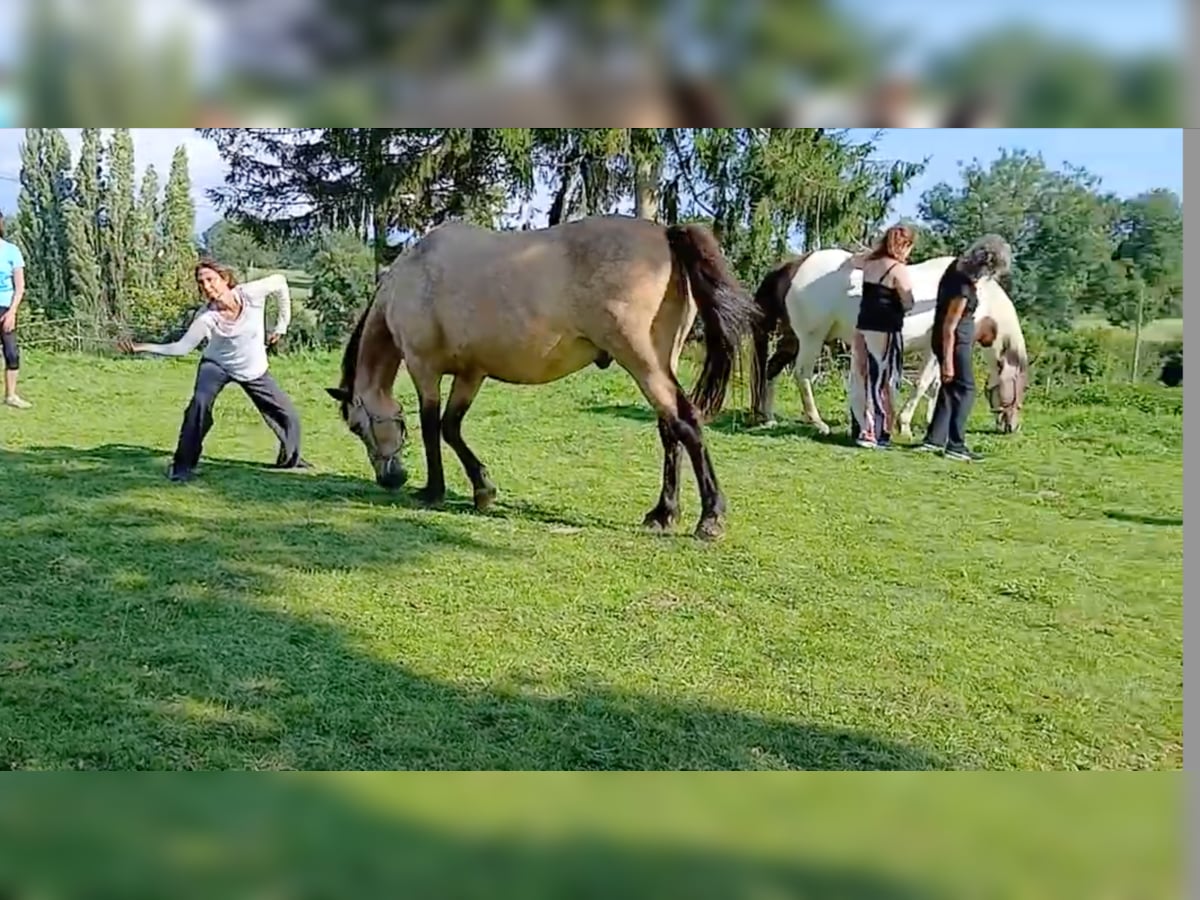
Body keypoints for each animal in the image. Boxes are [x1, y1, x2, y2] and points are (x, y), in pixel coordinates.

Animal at [325, 215, 760, 541]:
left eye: (357, 427)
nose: (390, 479)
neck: (412, 277)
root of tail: (666, 234)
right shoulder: (471, 374)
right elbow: (451, 427)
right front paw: (483, 490)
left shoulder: (424, 369)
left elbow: (432, 427)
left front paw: (433, 491)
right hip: (658, 365)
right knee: (670, 429)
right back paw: (663, 513)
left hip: (643, 363)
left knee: (686, 424)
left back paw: (710, 518)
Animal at [748, 248, 1029, 437]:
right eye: (1018, 386)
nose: (1013, 426)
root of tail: (795, 265)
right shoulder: (935, 349)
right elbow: (923, 384)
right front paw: (904, 426)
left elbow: (935, 386)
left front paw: (927, 420)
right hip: (810, 338)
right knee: (801, 375)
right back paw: (817, 423)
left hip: (792, 338)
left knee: (771, 369)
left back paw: (768, 418)